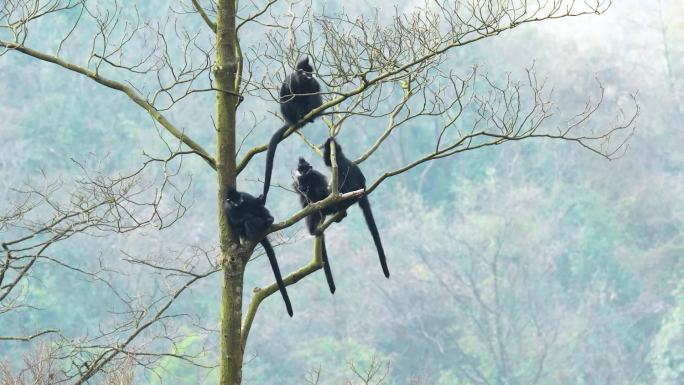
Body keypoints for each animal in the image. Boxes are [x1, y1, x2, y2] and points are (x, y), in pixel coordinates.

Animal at [222, 186, 292, 316]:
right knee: (246, 223)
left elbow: (255, 203)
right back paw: (257, 229)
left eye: (240, 198)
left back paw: (268, 219)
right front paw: (248, 217)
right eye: (235, 201)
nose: (240, 202)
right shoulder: (228, 208)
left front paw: (260, 199)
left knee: (257, 209)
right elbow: (236, 220)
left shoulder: (245, 196)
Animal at [262, 57, 326, 202]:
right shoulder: (291, 83)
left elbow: (315, 92)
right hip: (289, 113)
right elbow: (289, 98)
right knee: (289, 103)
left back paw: (311, 114)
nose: (309, 76)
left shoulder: (312, 84)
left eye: (310, 72)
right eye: (305, 72)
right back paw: (300, 116)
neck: (302, 82)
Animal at [292, 158, 336, 292]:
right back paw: (312, 230)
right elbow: (298, 190)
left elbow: (322, 188)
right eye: (300, 170)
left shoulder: (316, 175)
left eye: (305, 169)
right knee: (309, 213)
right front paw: (302, 189)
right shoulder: (298, 180)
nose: (302, 173)